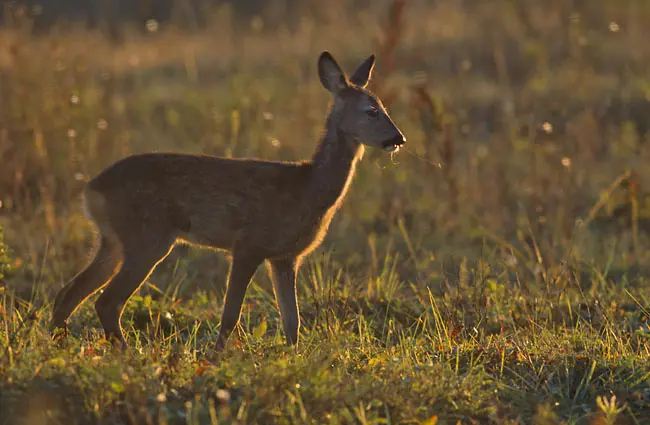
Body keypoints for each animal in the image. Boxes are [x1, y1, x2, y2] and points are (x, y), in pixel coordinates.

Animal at [50, 50, 402, 348]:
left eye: (384, 108)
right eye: (372, 111)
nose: (398, 138)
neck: (309, 187)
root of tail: (91, 190)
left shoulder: (285, 257)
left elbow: (292, 322)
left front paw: (293, 359)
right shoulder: (248, 245)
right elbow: (230, 315)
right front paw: (217, 357)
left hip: (112, 241)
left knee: (68, 293)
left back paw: (61, 346)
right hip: (147, 238)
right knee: (106, 301)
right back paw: (126, 353)